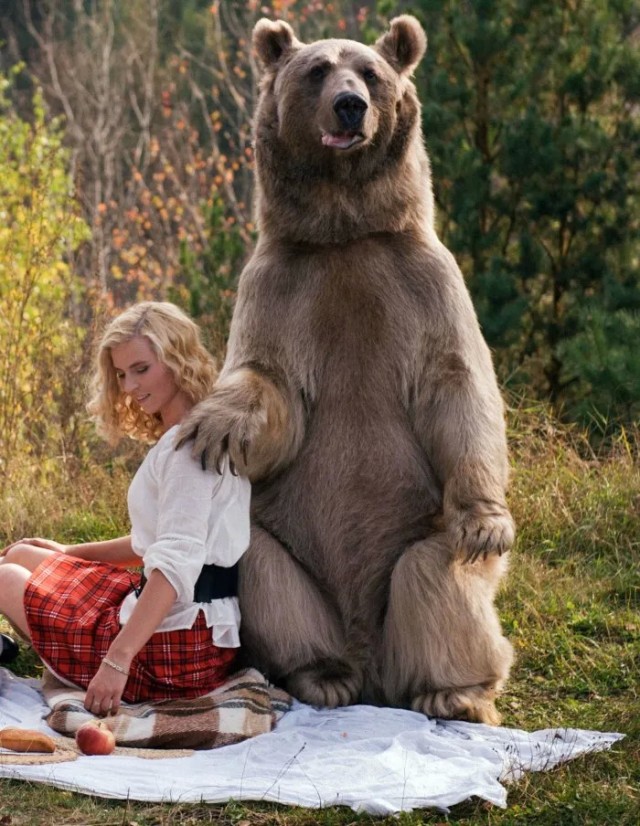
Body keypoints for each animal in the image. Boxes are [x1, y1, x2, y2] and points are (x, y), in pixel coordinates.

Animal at [179, 15, 515, 724]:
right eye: (316, 70)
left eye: (371, 71)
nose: (350, 106)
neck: (344, 230)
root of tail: (371, 670)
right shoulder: (280, 288)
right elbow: (269, 382)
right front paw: (216, 425)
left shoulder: (423, 283)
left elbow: (457, 384)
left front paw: (487, 522)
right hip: (290, 553)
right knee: (262, 568)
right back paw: (320, 675)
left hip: (420, 535)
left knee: (436, 581)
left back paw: (455, 692)